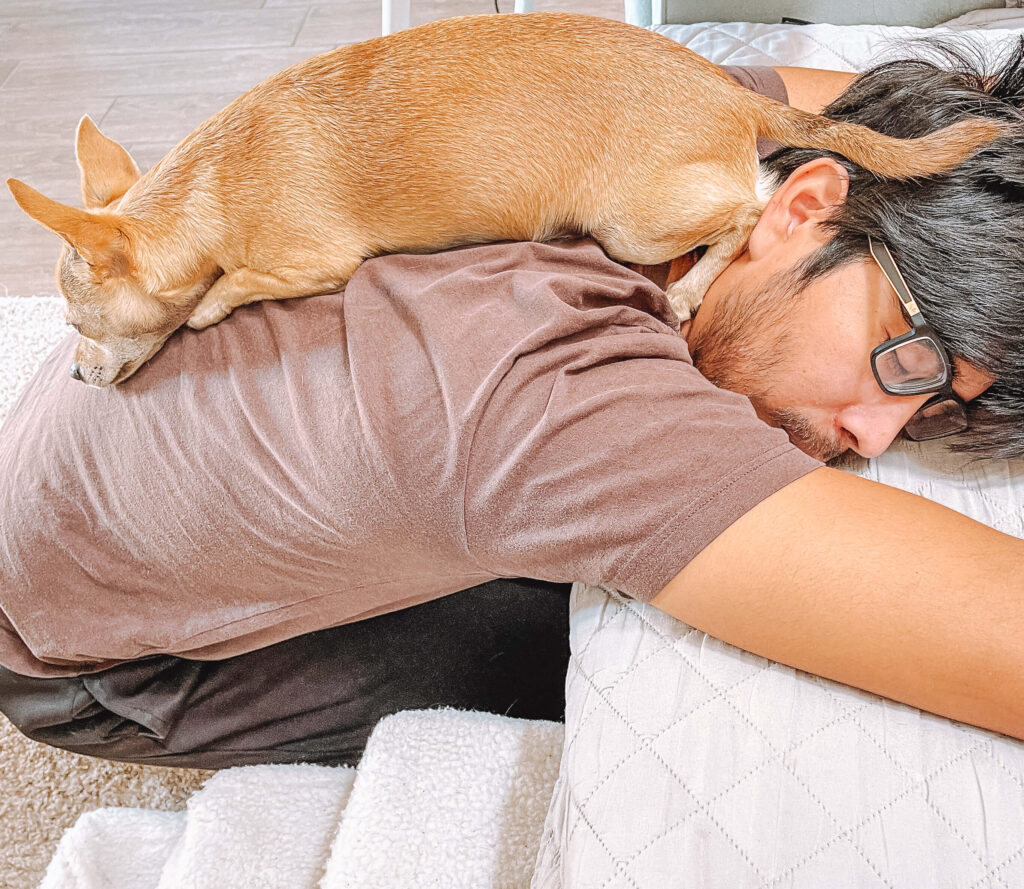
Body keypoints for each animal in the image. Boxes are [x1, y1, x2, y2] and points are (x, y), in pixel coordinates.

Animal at [6, 11, 999, 385]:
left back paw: (686, 287)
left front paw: (207, 304)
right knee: (757, 187)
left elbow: (224, 290)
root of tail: (730, 93)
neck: (206, 186)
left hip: (632, 226)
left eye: (81, 329)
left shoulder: (312, 263)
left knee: (751, 204)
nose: (78, 378)